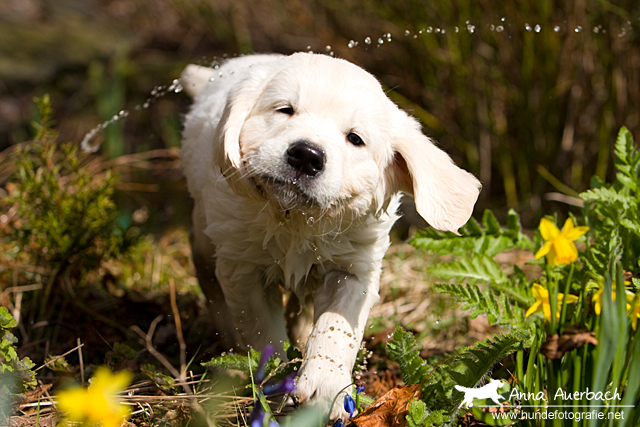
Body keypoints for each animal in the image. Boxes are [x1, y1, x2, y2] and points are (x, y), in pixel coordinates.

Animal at [180, 52, 480, 418]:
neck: (297, 220)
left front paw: (325, 386)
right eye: (285, 110)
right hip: (205, 234)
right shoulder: (245, 270)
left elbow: (336, 329)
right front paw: (275, 387)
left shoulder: (353, 269)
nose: (306, 155)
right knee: (210, 280)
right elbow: (262, 333)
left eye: (355, 138)